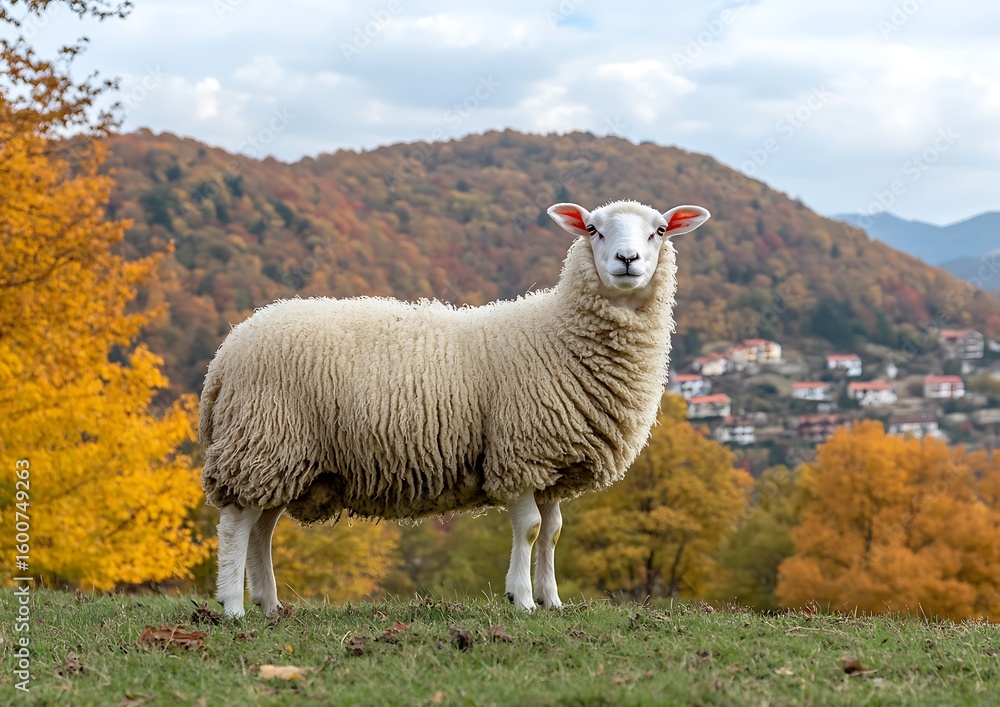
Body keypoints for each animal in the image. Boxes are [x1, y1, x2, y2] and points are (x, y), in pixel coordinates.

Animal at [200, 199, 711, 617]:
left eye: (659, 231)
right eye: (592, 229)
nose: (628, 260)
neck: (557, 332)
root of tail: (224, 354)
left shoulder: (552, 463)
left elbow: (553, 532)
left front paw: (552, 600)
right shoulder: (518, 452)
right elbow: (529, 529)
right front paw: (522, 598)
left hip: (283, 456)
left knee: (262, 526)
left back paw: (268, 604)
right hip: (263, 438)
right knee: (237, 523)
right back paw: (233, 607)